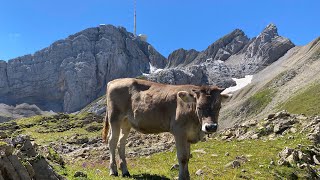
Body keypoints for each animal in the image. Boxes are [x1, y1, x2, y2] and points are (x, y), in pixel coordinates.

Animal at [101, 78, 229, 179]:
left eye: (219, 106)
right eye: (199, 107)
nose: (211, 127)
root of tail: (114, 81)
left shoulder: (187, 134)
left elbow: (188, 157)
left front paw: (187, 176)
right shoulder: (179, 132)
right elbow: (182, 157)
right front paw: (182, 177)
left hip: (126, 122)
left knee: (121, 143)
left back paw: (125, 171)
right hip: (114, 118)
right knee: (112, 141)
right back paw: (113, 171)